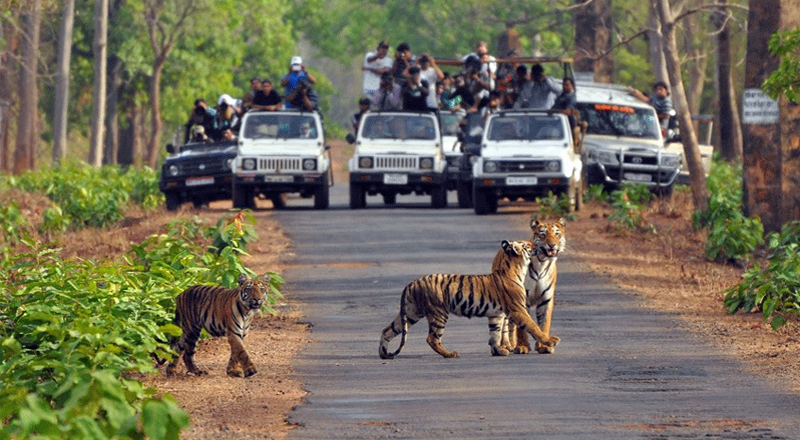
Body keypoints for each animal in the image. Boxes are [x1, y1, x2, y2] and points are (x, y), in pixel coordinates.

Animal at [378, 239, 560, 360]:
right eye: (527, 245)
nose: (538, 246)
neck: (516, 268)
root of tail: (412, 282)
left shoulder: (496, 315)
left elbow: (495, 333)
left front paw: (498, 351)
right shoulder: (518, 310)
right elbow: (533, 326)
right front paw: (550, 341)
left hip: (411, 313)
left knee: (387, 330)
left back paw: (383, 353)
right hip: (438, 313)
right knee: (432, 338)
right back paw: (450, 354)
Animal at [490, 218, 564, 356]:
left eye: (557, 234)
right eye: (543, 234)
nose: (552, 245)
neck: (542, 262)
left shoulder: (546, 299)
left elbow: (544, 323)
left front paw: (544, 346)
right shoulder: (521, 299)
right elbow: (523, 327)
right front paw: (522, 347)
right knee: (505, 324)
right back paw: (506, 345)